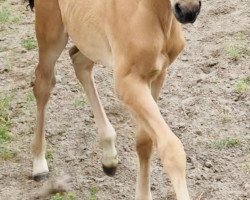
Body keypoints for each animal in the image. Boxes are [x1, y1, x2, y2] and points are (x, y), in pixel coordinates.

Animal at [26, 0, 201, 200]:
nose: (188, 11)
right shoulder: (128, 82)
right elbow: (170, 148)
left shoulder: (157, 75)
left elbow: (146, 141)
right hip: (51, 30)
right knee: (43, 84)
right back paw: (39, 164)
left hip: (88, 36)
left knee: (79, 62)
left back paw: (109, 156)